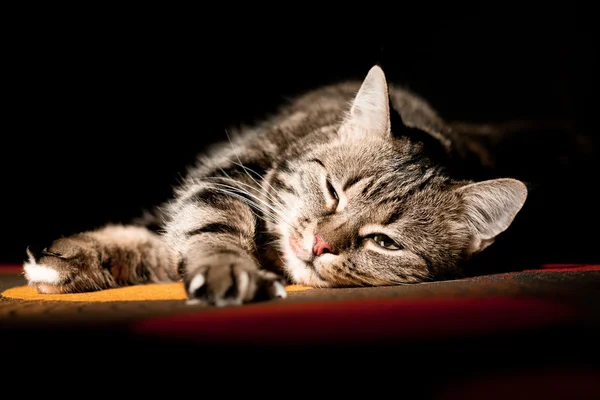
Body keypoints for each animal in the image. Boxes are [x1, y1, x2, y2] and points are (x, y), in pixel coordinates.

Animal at [23, 64, 580, 304]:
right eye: (333, 189)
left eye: (385, 243)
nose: (318, 244)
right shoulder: (228, 175)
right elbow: (201, 227)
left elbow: (179, 242)